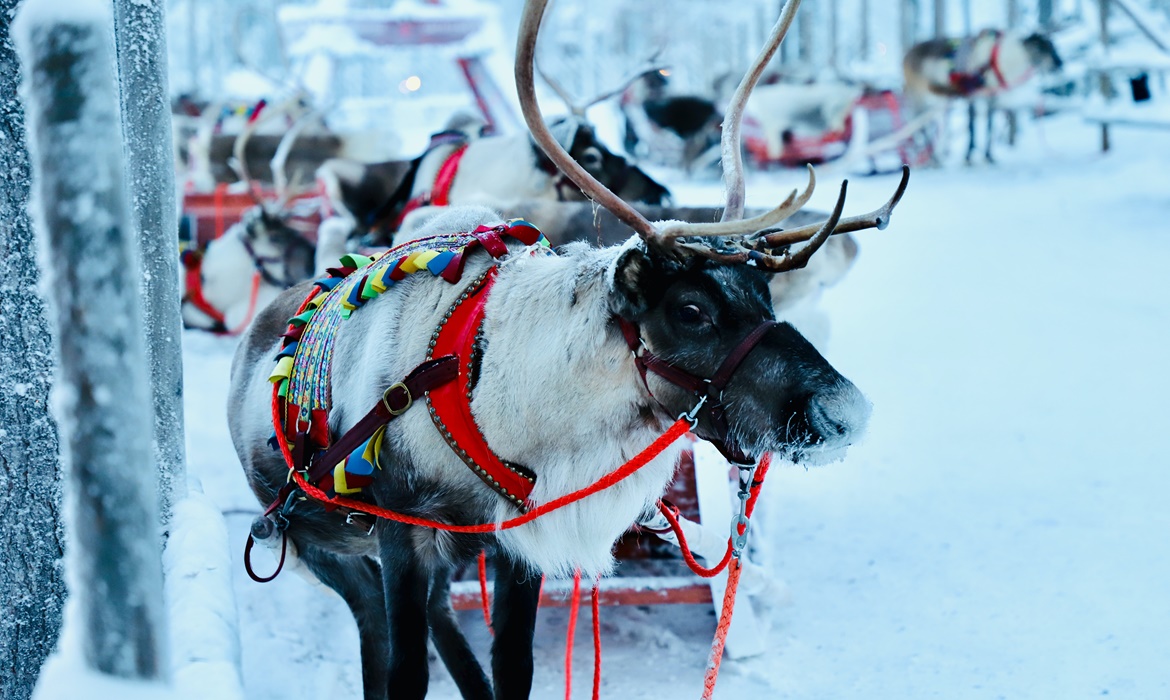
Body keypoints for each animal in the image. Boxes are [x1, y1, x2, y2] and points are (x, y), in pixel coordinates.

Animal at [227, 1, 907, 699]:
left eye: (765, 295)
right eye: (690, 310)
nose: (844, 413)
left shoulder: (511, 543)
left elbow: (513, 665)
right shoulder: (400, 534)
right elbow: (406, 670)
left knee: (442, 619)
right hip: (310, 540)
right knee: (374, 626)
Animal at [903, 29, 1062, 164]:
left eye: (1052, 45)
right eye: (1041, 47)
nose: (1059, 64)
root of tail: (906, 56)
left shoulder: (991, 97)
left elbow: (989, 126)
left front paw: (988, 156)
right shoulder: (972, 96)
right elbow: (972, 126)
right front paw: (968, 156)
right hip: (919, 96)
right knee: (918, 126)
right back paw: (933, 159)